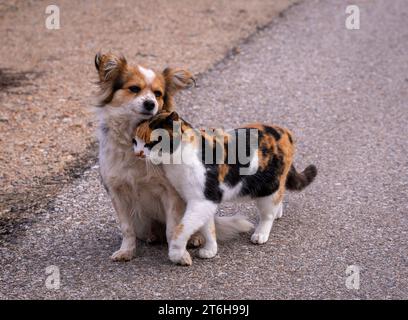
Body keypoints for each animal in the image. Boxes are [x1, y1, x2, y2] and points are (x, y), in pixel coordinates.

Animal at [94, 52, 252, 262]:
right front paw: (126, 251)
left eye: (158, 93)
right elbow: (127, 229)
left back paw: (194, 239)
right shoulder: (117, 192)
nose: (150, 103)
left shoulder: (170, 192)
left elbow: (173, 228)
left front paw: (179, 253)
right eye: (134, 88)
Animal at [132, 111, 318, 266]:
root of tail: (285, 131)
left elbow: (181, 228)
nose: (137, 153)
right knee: (279, 194)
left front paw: (176, 254)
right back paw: (278, 212)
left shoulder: (202, 200)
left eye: (150, 142)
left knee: (267, 214)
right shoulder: (205, 201)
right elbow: (208, 228)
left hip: (267, 187)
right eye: (135, 141)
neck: (176, 160)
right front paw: (211, 250)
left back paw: (261, 233)